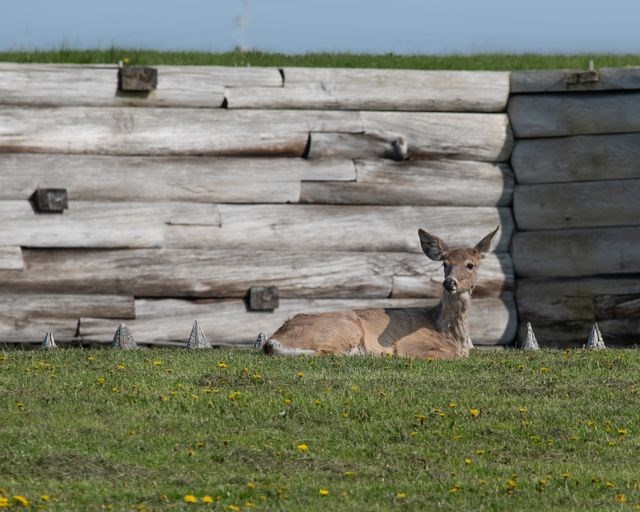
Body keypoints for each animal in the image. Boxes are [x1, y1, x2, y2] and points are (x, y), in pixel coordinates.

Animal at [260, 228, 500, 360]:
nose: (449, 282)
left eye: (470, 264)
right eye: (445, 263)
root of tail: (274, 339)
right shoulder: (411, 346)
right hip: (346, 329)